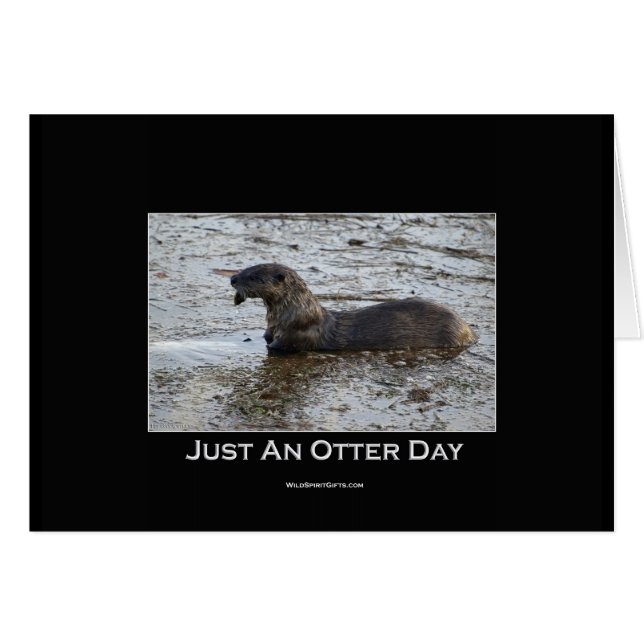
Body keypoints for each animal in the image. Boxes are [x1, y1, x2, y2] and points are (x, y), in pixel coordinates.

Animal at [230, 263, 476, 352]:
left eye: (254, 276)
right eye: (246, 267)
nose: (232, 278)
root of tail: (468, 330)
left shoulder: (296, 334)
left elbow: (278, 347)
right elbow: (265, 337)